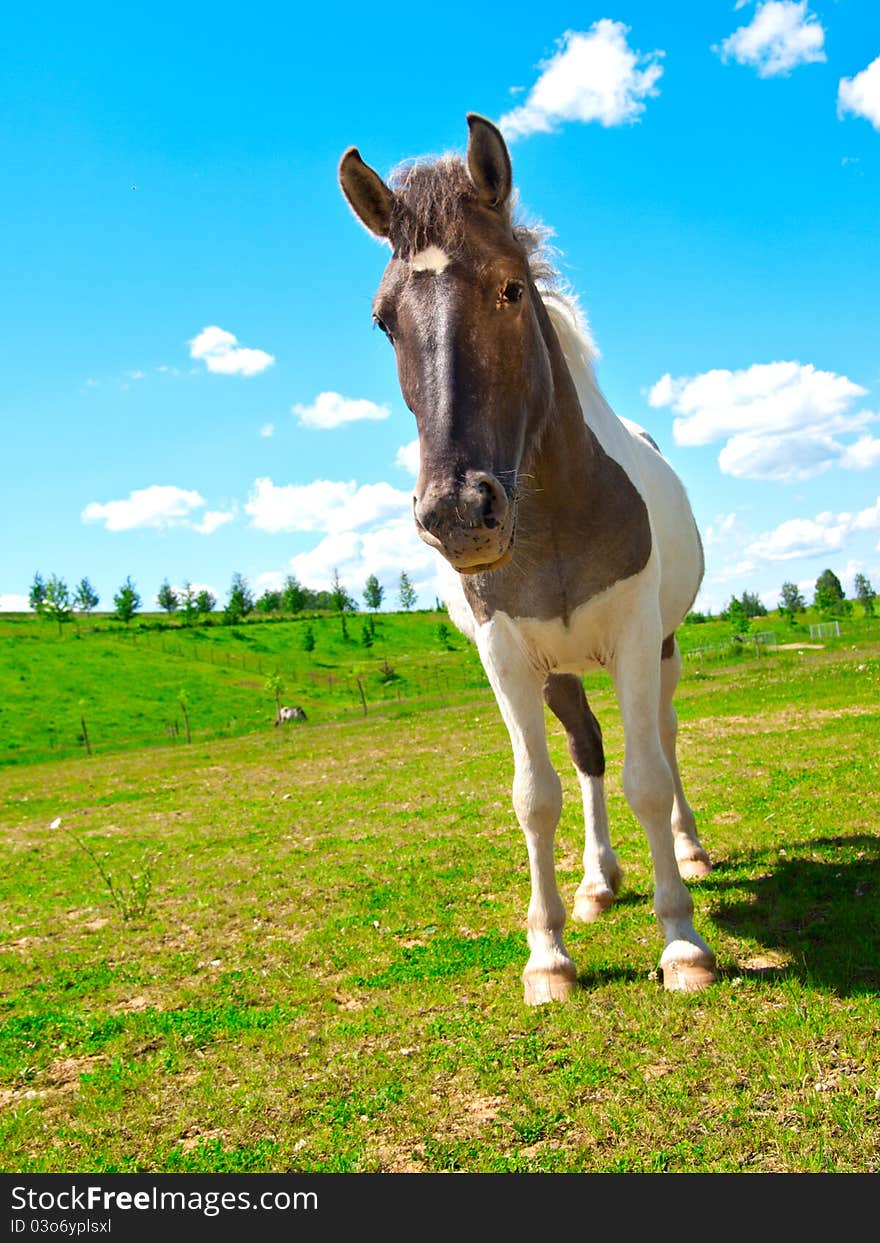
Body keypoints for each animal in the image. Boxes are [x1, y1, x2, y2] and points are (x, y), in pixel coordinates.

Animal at [338, 111, 715, 1004]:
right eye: (384, 319)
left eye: (511, 288)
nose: (457, 514)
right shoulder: (507, 656)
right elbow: (535, 795)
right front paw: (547, 954)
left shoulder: (634, 637)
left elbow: (650, 777)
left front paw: (682, 942)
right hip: (561, 671)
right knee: (588, 751)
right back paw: (599, 881)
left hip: (663, 645)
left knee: (664, 740)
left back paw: (688, 852)